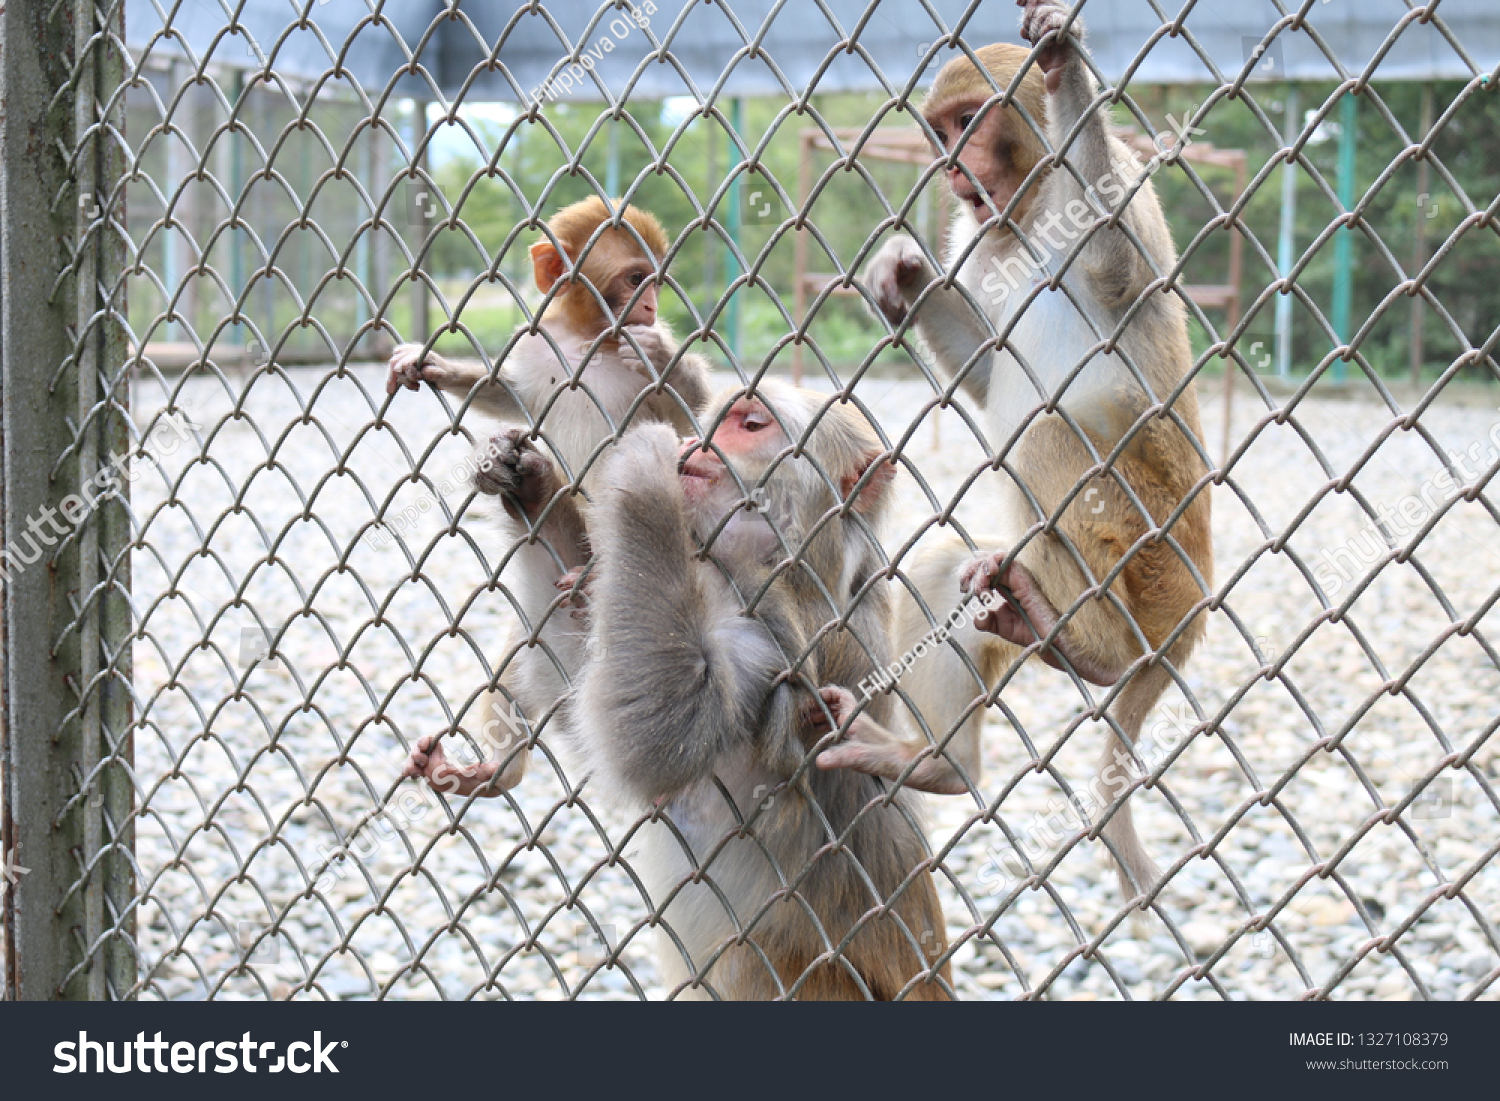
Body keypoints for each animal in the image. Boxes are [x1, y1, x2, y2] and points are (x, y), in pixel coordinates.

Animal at [393, 196, 711, 796]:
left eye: (653, 282)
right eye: (634, 279)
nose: (650, 306)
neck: (585, 340)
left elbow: (693, 423)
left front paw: (665, 355)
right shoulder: (538, 341)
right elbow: (508, 392)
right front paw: (436, 365)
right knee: (513, 670)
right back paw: (486, 774)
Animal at [569, 380, 952, 1000]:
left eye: (750, 425)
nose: (695, 446)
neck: (788, 559)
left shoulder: (779, 628)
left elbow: (656, 740)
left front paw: (644, 474)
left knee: (749, 956)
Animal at [856, 0, 1213, 903]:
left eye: (968, 122)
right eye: (940, 130)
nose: (951, 168)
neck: (1017, 214)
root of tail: (1196, 593)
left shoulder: (1120, 183)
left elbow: (1117, 265)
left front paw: (1062, 66)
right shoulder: (973, 234)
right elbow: (987, 371)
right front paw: (905, 274)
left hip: (1151, 553)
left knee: (1053, 431)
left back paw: (1090, 650)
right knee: (944, 567)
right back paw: (943, 760)